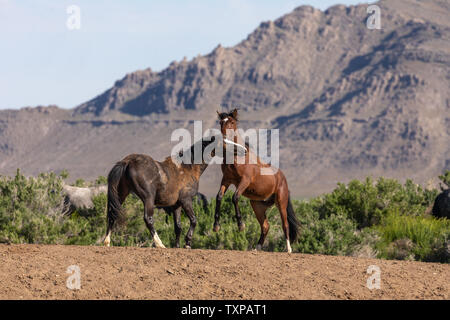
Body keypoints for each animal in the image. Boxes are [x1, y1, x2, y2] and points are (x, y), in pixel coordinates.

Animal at [214, 109, 298, 252]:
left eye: (232, 122)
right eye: (221, 122)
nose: (225, 139)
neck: (238, 156)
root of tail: (282, 177)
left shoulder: (244, 181)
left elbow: (235, 198)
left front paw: (241, 225)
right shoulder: (226, 180)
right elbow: (219, 197)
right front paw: (216, 226)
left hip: (281, 202)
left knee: (285, 225)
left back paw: (288, 249)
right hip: (257, 205)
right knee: (265, 226)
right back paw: (256, 248)